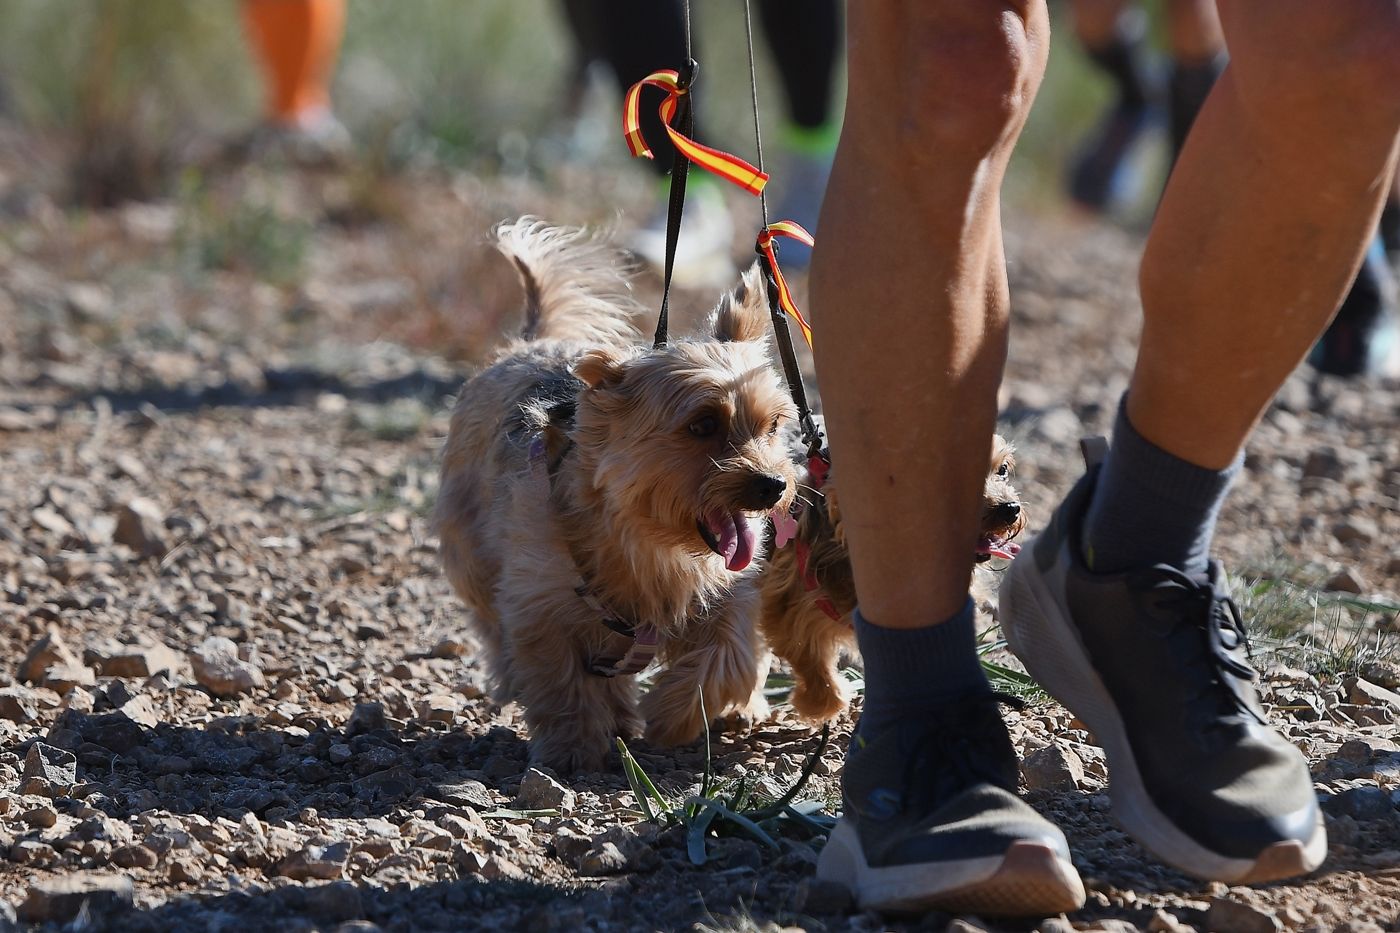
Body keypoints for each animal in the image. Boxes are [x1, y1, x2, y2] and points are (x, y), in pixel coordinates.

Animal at [431, 219, 795, 767]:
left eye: (772, 425)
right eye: (702, 424)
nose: (773, 486)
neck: (653, 545)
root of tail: (533, 339)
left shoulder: (735, 594)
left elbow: (728, 658)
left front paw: (673, 717)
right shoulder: (540, 603)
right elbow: (561, 680)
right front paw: (575, 747)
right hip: (472, 556)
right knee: (495, 627)